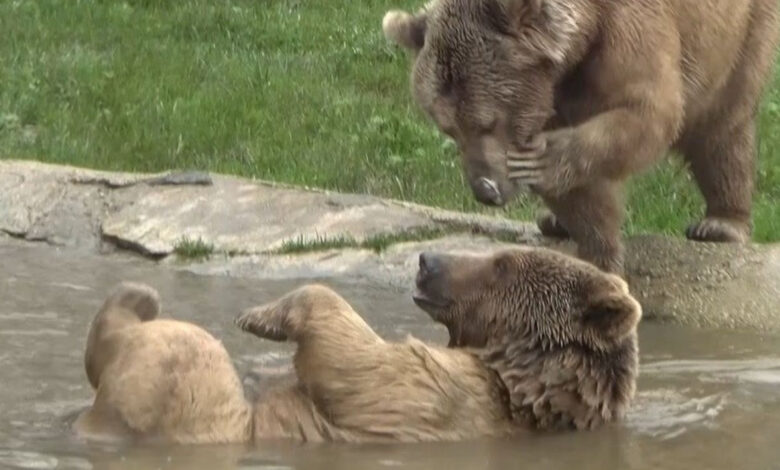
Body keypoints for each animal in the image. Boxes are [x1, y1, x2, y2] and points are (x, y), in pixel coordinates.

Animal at [76, 248, 644, 442]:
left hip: (198, 412)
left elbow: (355, 362)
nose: (428, 260)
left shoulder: (449, 394)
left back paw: (136, 298)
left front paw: (260, 315)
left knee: (183, 349)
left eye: (502, 262)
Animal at [384, 0, 780, 276]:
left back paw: (721, 223)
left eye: (488, 122)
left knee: (723, 121)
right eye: (448, 128)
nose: (485, 190)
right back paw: (553, 222)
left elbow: (648, 111)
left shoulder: (627, 33)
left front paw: (542, 160)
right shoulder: (552, 90)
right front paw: (599, 253)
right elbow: (583, 195)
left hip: (741, 30)